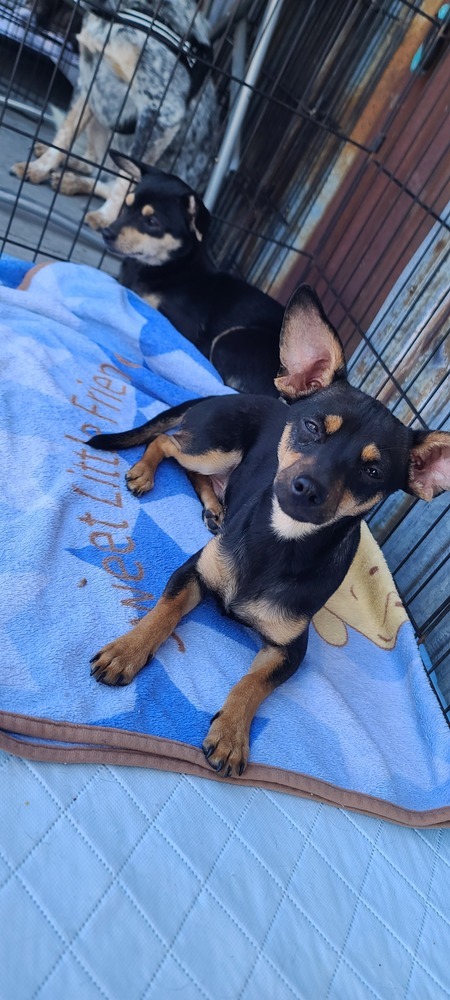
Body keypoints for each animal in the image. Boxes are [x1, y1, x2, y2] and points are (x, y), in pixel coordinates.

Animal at [87, 286, 450, 776]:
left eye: (373, 471)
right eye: (312, 427)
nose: (307, 488)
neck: (280, 541)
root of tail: (220, 396)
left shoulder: (290, 650)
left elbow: (254, 682)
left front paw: (232, 732)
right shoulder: (191, 573)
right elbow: (162, 613)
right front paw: (127, 650)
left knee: (194, 469)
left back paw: (216, 508)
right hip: (216, 447)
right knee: (166, 443)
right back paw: (146, 473)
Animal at [100, 152, 284, 394]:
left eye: (152, 222)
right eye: (126, 207)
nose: (106, 232)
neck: (171, 267)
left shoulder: (177, 324)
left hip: (232, 341)